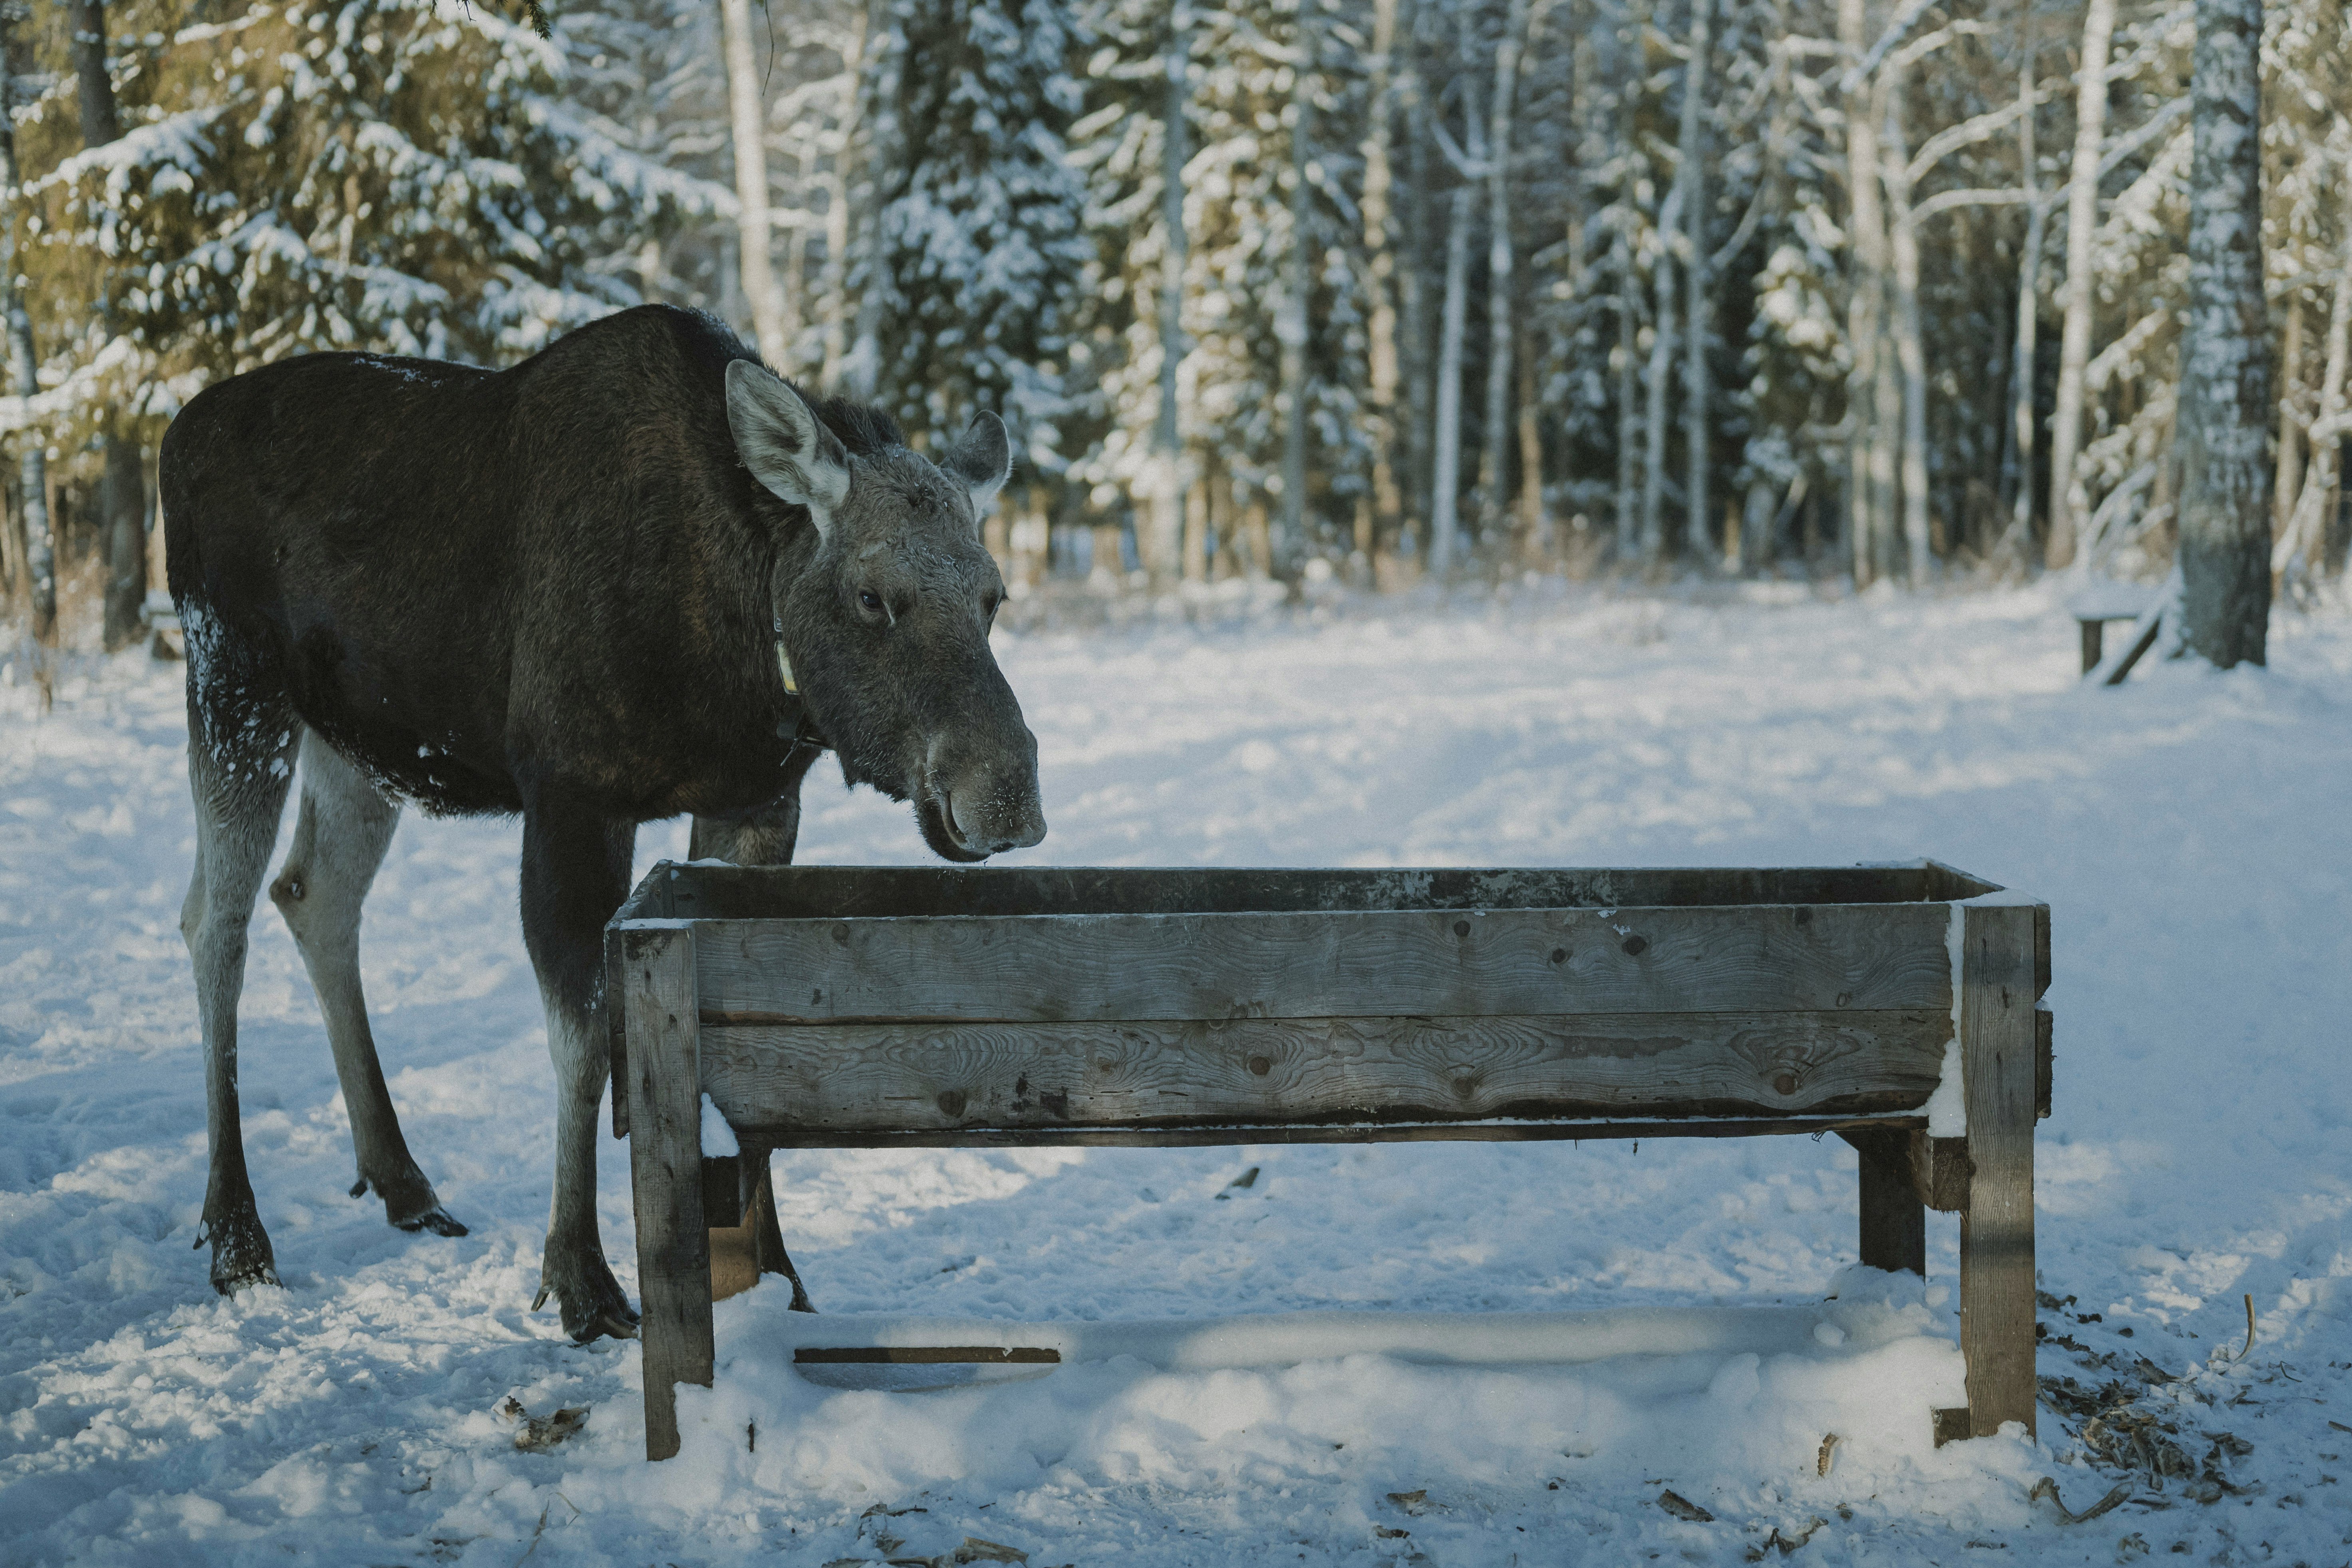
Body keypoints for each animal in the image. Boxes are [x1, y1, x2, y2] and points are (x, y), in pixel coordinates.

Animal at [166, 305, 1049, 1335]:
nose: (1006, 795)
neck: (740, 637)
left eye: (994, 595)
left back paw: (403, 1181)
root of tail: (177, 429)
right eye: (872, 595)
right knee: (214, 921)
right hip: (232, 680)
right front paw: (581, 1278)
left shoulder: (753, 800)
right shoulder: (572, 797)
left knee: (314, 895)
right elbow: (583, 1043)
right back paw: (238, 1234)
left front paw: (780, 1275)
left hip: (356, 742)